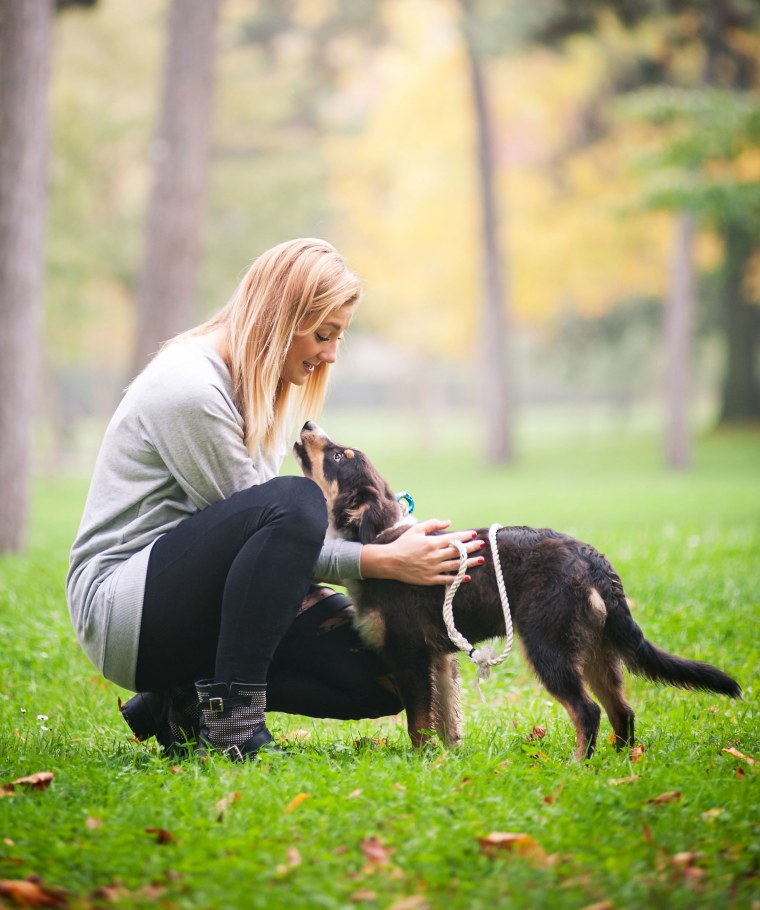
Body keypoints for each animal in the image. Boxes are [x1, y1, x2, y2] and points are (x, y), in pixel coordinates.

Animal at [292, 424, 744, 760]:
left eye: (338, 457)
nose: (308, 424)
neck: (380, 537)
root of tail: (593, 560)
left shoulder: (410, 654)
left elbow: (419, 723)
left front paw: (420, 763)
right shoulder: (440, 658)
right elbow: (446, 719)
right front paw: (446, 761)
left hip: (549, 647)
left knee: (588, 711)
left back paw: (578, 766)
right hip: (596, 651)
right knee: (623, 712)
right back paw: (620, 764)